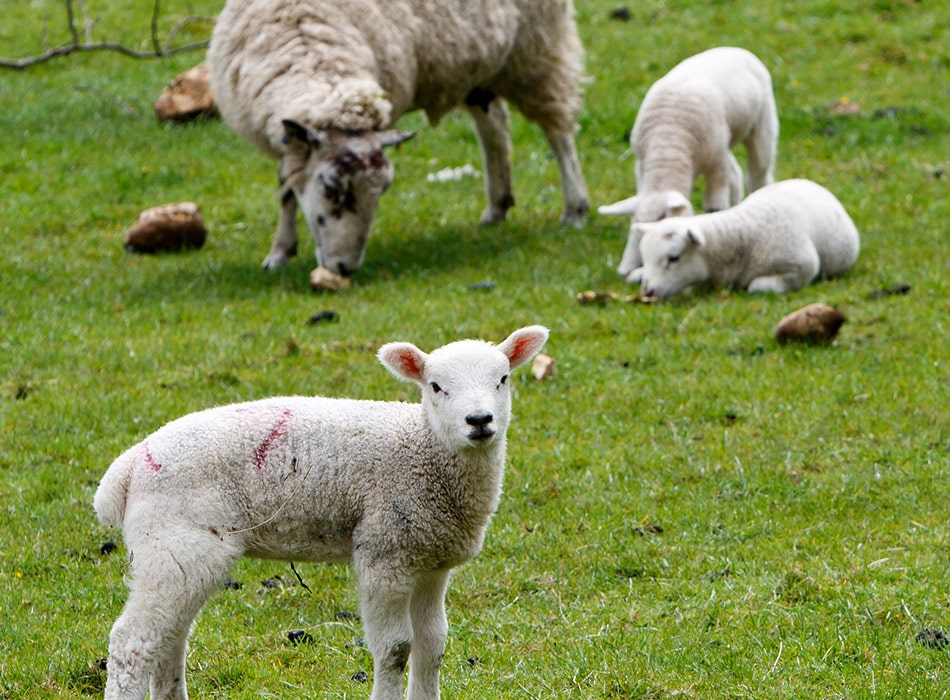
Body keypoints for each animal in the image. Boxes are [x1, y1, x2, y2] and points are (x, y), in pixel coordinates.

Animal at [95, 326, 552, 700]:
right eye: (436, 386)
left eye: (503, 379)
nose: (479, 420)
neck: (423, 449)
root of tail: (129, 466)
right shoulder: (384, 551)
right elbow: (395, 649)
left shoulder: (431, 560)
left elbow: (432, 645)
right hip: (174, 543)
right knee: (132, 643)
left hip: (180, 555)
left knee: (170, 636)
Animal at [209, 0, 592, 278]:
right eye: (332, 188)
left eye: (382, 193)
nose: (345, 268)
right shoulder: (290, 145)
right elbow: (287, 190)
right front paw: (279, 252)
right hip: (480, 67)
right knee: (494, 123)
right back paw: (497, 205)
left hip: (535, 50)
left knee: (558, 132)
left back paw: (575, 208)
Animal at [604, 46, 780, 284]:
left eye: (664, 222)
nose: (628, 270)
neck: (668, 143)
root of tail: (733, 48)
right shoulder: (641, 169)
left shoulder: (716, 166)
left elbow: (714, 206)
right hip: (724, 142)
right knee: (736, 172)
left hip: (761, 126)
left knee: (758, 172)